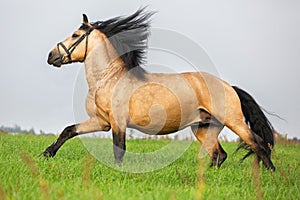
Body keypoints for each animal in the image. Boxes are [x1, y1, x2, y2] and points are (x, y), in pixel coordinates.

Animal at [43, 8, 276, 170]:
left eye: (75, 35)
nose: (51, 55)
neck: (109, 78)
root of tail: (230, 86)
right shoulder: (102, 122)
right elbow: (69, 130)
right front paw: (47, 153)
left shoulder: (117, 122)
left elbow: (119, 149)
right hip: (204, 128)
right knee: (219, 155)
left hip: (233, 121)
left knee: (258, 144)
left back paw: (271, 175)